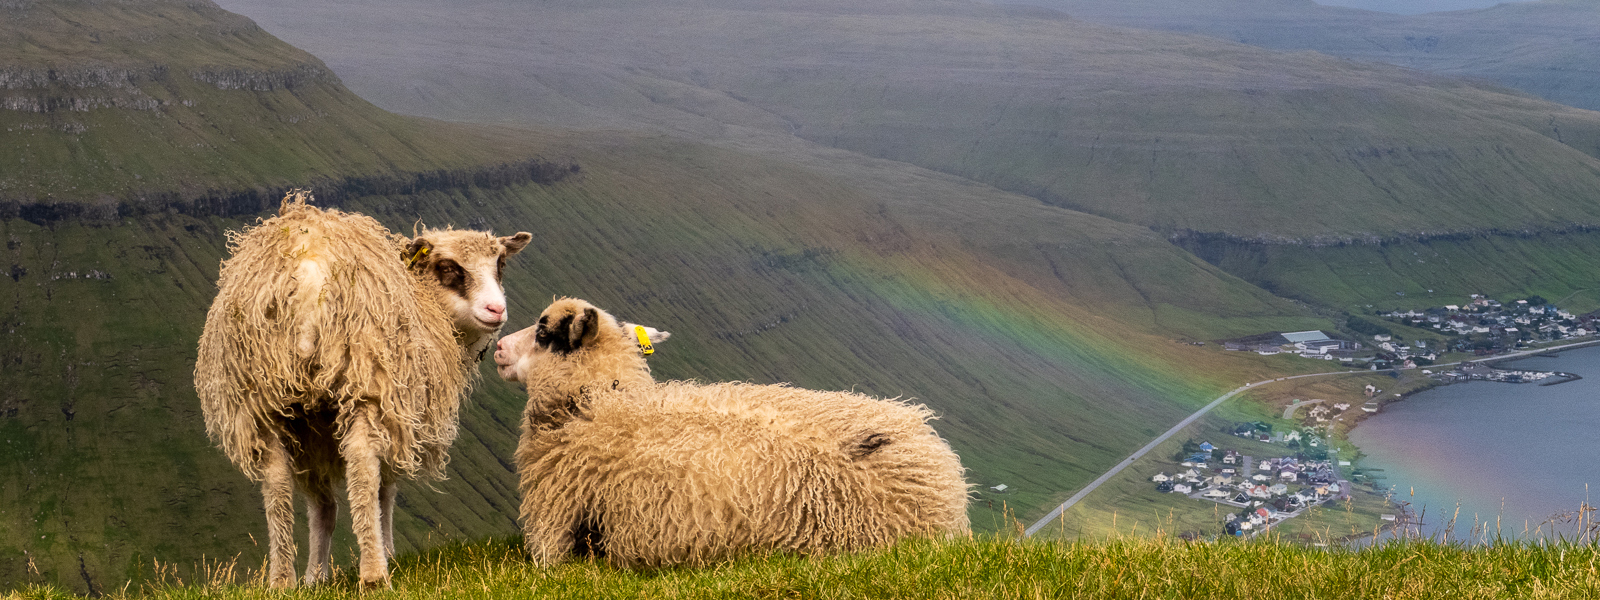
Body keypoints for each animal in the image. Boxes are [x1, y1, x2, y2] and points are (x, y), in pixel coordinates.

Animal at [193, 192, 531, 592]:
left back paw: (283, 580)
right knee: (363, 468)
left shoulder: (313, 430)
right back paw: (373, 573)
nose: (497, 310)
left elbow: (321, 506)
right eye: (450, 267)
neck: (427, 302)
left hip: (264, 395)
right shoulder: (397, 409)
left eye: (500, 264)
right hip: (364, 379)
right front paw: (390, 553)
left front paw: (315, 576)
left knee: (278, 482)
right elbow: (385, 491)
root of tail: (307, 268)